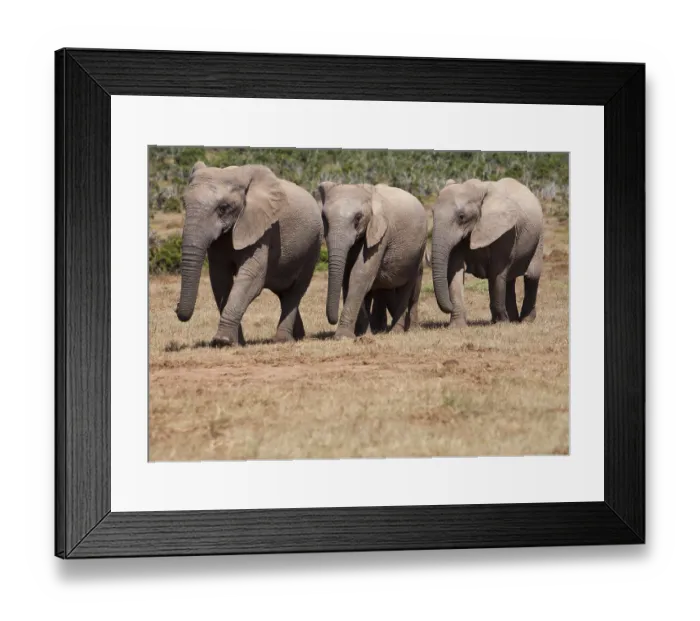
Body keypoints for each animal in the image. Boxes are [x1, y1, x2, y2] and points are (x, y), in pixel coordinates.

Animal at [175, 162, 323, 346]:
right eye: (184, 203)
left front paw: (223, 341)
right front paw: (235, 342)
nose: (176, 307)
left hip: (313, 246)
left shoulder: (263, 228)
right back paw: (298, 337)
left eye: (223, 208)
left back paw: (283, 340)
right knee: (283, 292)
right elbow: (220, 279)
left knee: (295, 290)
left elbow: (252, 278)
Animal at [318, 182, 427, 339]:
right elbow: (347, 277)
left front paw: (343, 337)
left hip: (419, 250)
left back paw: (399, 331)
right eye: (323, 217)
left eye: (358, 218)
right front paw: (363, 334)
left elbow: (360, 275)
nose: (333, 320)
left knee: (407, 288)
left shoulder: (382, 233)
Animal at [430, 177, 543, 325]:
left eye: (461, 216)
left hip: (539, 235)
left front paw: (501, 323)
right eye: (432, 213)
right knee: (509, 279)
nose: (449, 306)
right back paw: (513, 319)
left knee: (531, 275)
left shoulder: (506, 231)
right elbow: (455, 270)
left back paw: (525, 320)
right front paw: (457, 326)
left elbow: (497, 271)